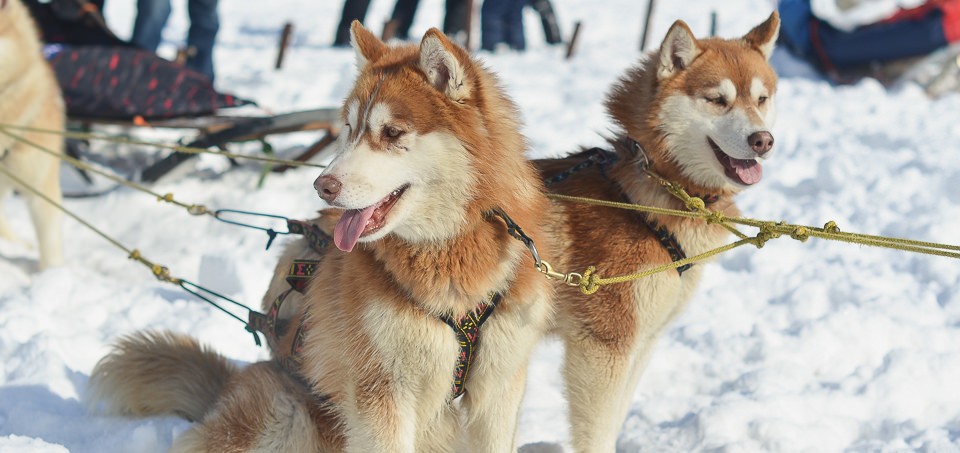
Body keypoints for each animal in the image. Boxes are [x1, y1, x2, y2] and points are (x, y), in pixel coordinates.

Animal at [92, 22, 556, 452]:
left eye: (392, 133)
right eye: (349, 128)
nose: (322, 185)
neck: (448, 252)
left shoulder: (497, 392)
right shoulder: (381, 392)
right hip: (286, 414)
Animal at [536, 12, 784, 450]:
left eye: (760, 99)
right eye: (717, 99)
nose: (763, 140)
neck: (644, 200)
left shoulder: (645, 341)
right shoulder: (602, 348)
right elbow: (599, 434)